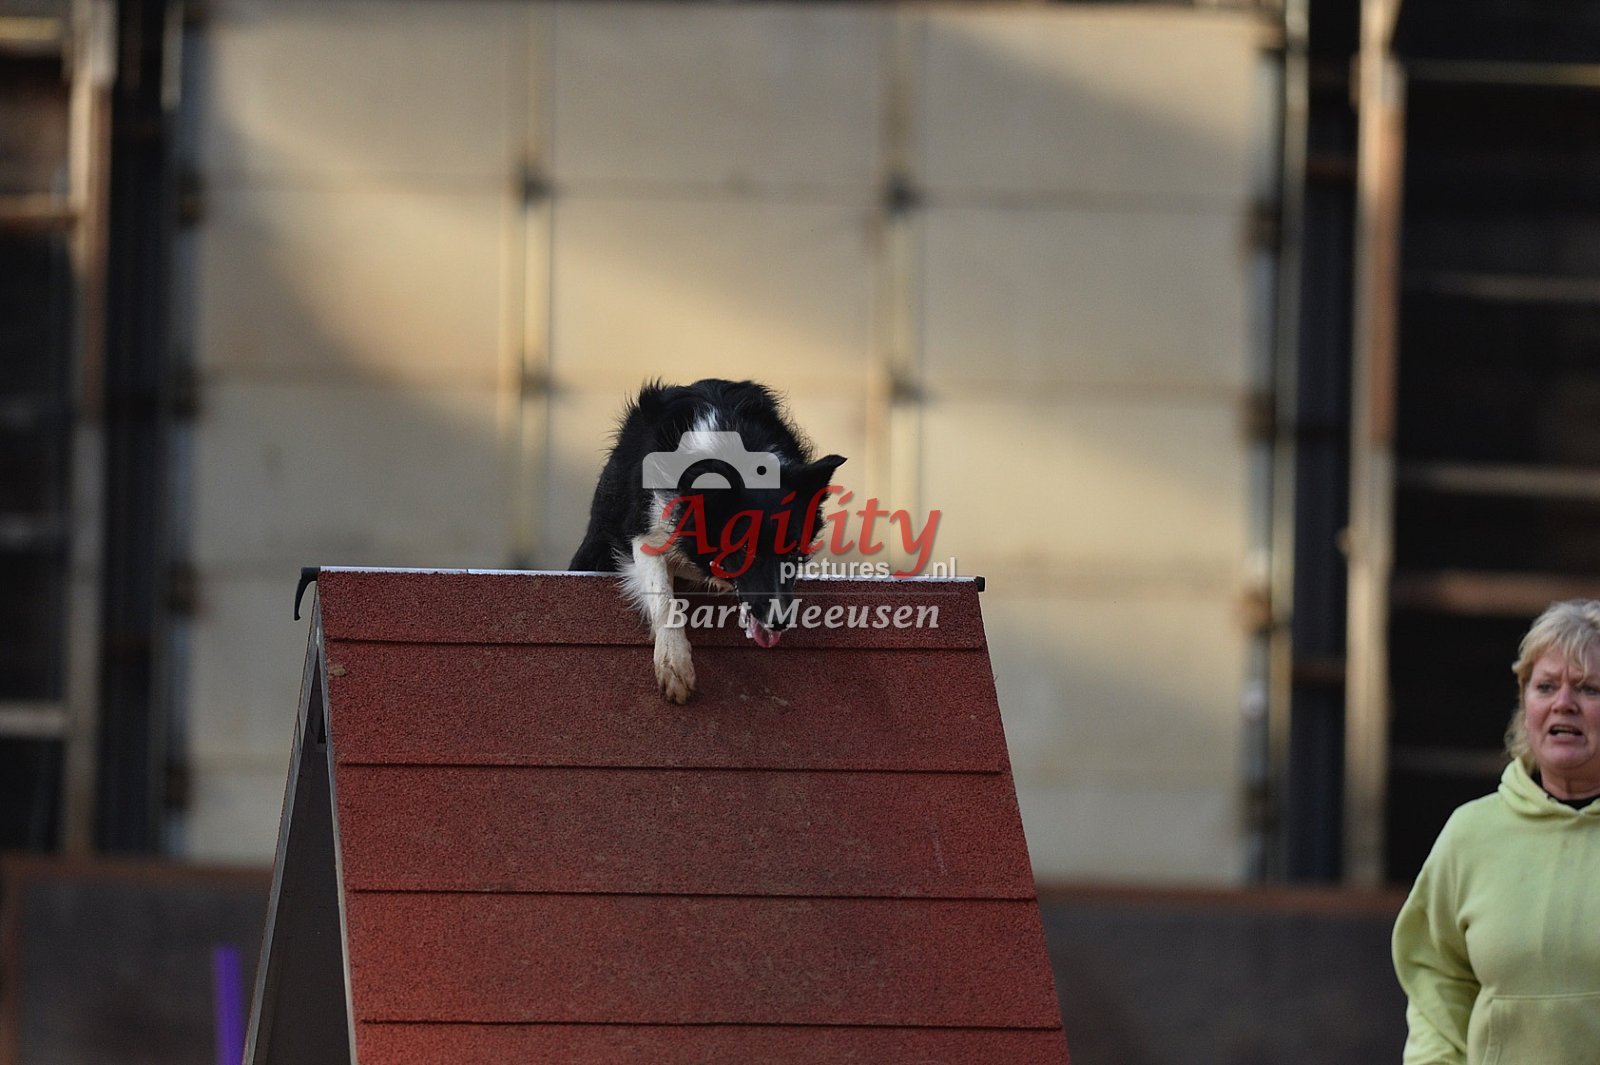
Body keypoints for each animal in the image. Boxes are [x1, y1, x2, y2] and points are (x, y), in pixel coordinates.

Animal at [571, 379, 846, 703]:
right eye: (744, 547)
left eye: (790, 549)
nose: (778, 621)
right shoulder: (642, 530)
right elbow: (662, 594)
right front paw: (674, 664)